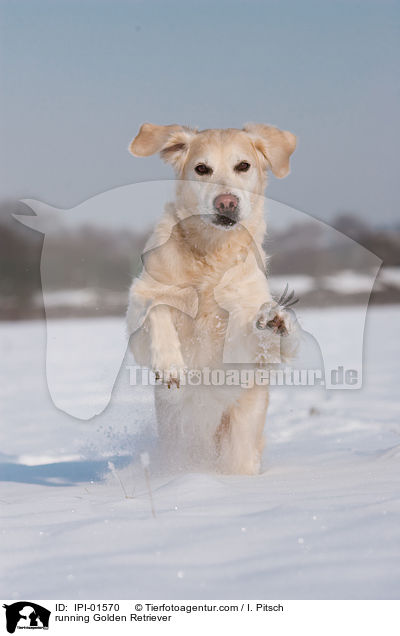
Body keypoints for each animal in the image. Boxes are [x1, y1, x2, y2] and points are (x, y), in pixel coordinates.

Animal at [126, 123, 298, 472]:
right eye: (201, 169)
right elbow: (157, 307)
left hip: (240, 446)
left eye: (243, 166)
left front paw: (275, 321)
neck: (211, 250)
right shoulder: (138, 309)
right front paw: (170, 364)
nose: (226, 203)